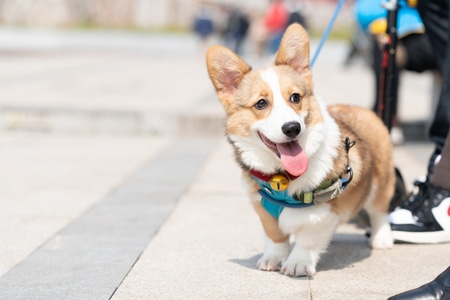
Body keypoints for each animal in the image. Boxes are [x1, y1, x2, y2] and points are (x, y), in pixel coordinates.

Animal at [207, 24, 394, 276]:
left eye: (295, 97)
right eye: (261, 104)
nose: (292, 128)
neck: (282, 177)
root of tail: (363, 109)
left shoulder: (324, 212)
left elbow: (307, 240)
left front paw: (298, 263)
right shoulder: (262, 209)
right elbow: (274, 237)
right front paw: (274, 259)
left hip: (382, 181)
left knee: (379, 210)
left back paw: (381, 238)